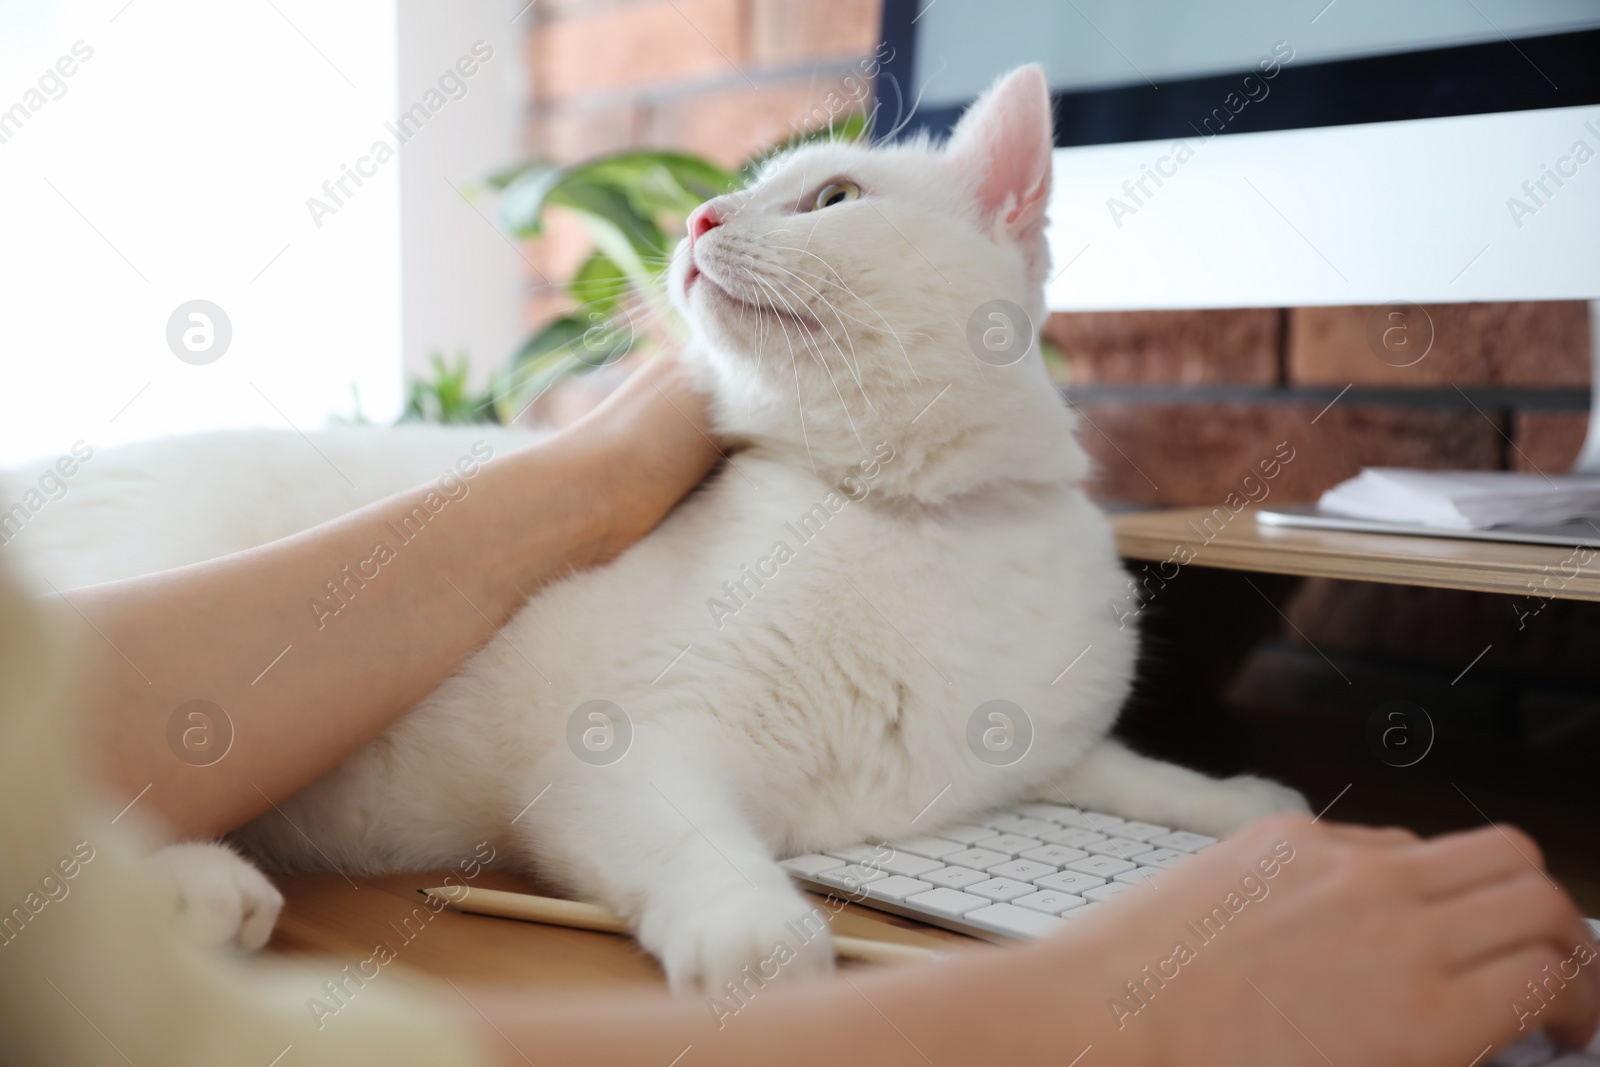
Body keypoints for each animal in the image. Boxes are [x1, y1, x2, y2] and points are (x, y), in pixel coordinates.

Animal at [9, 66, 1299, 991]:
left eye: (833, 198)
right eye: (737, 191)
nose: (697, 214)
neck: (908, 519)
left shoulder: (1047, 756)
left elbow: (1140, 776)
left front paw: (1253, 808)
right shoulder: (626, 750)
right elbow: (700, 849)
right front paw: (761, 939)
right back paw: (197, 890)